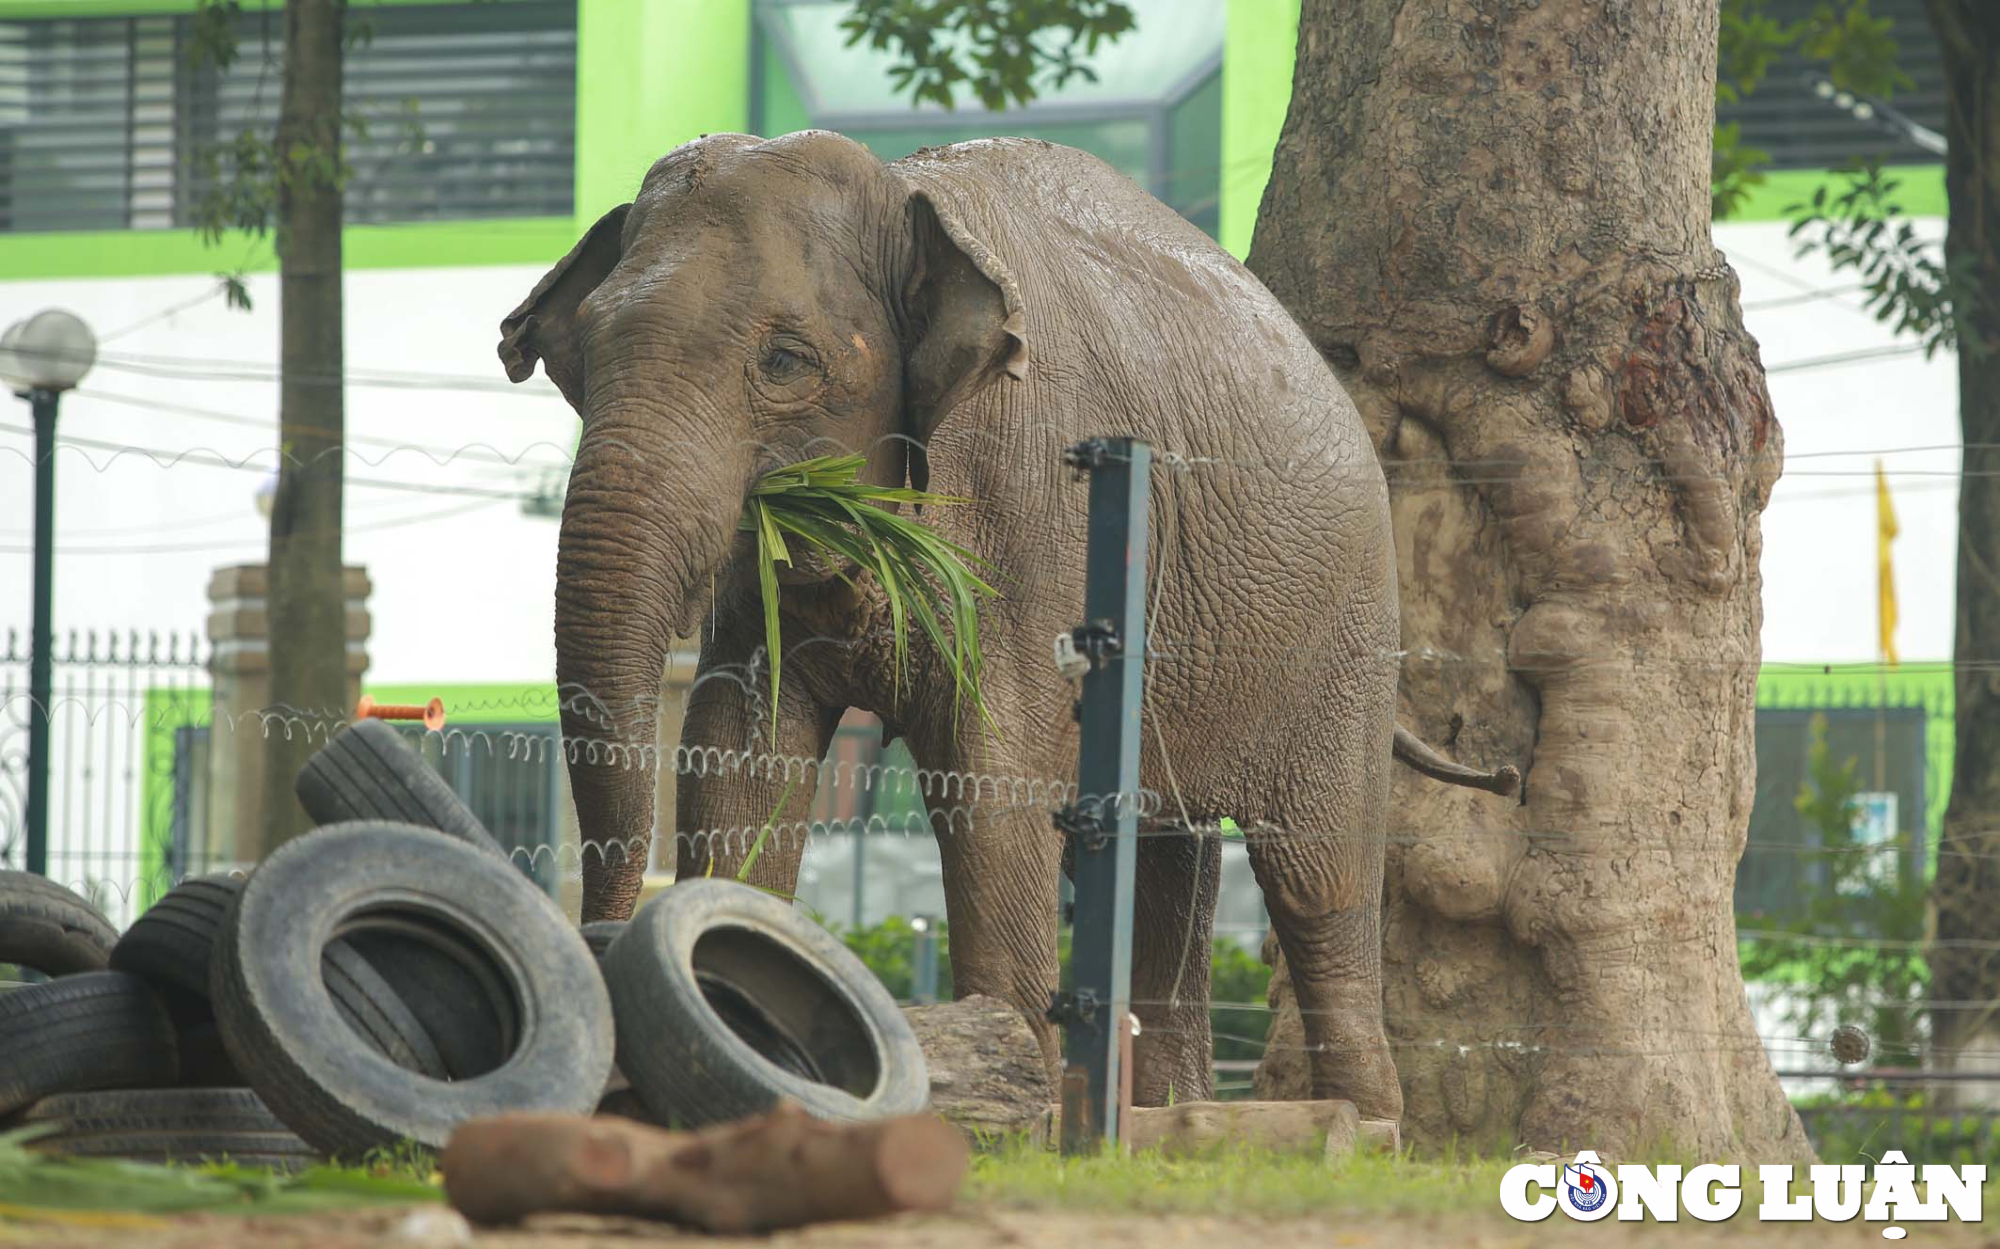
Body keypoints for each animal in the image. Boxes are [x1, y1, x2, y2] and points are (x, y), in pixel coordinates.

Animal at [500, 132, 1512, 1120]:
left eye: (785, 362)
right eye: (582, 358)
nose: (603, 938)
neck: (902, 195)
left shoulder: (1035, 508)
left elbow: (992, 776)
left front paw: (1017, 1105)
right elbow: (740, 761)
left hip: (1342, 629)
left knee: (1317, 875)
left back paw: (1362, 1128)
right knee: (1171, 856)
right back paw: (1176, 1123)